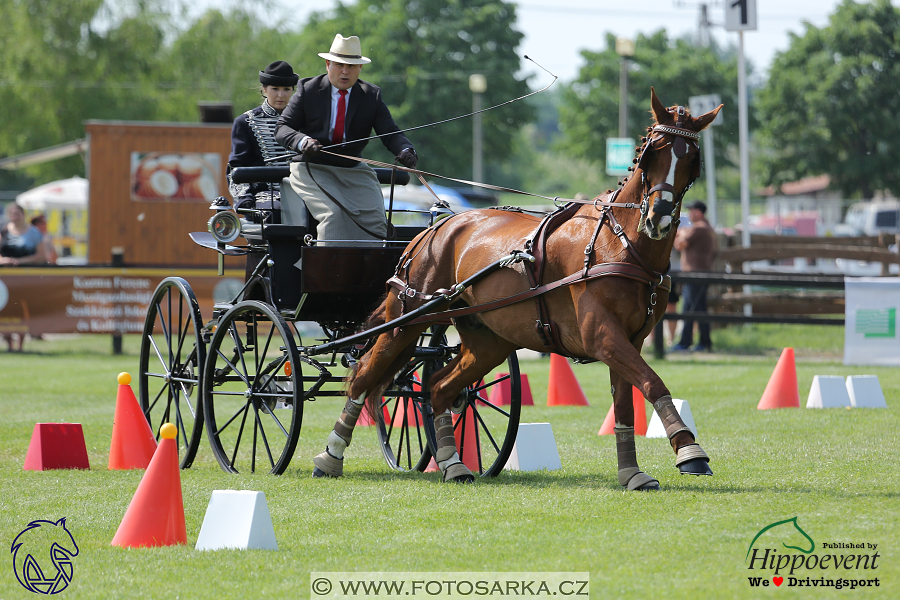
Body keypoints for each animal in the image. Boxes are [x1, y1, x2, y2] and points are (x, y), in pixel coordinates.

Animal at [312, 89, 720, 490]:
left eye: (692, 160)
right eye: (653, 152)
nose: (658, 217)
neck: (616, 243)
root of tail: (432, 229)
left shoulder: (629, 340)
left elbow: (625, 404)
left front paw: (632, 472)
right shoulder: (602, 336)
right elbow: (653, 382)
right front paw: (690, 450)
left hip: (489, 339)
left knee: (440, 388)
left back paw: (452, 463)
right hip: (406, 321)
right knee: (365, 376)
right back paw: (330, 456)